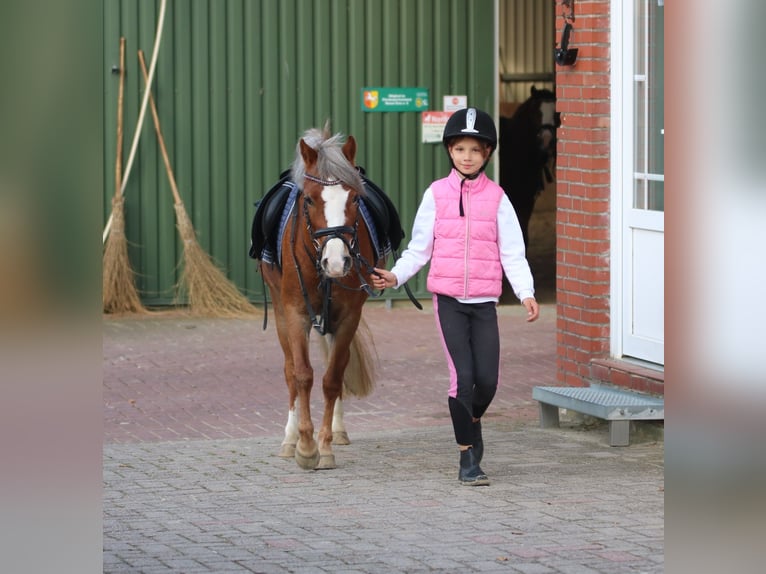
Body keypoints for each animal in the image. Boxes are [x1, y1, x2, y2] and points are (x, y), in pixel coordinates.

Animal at [260, 124, 384, 470]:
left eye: (355, 198)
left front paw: (325, 446)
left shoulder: (348, 315)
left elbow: (332, 377)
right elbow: (302, 375)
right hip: (279, 312)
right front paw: (304, 446)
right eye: (310, 200)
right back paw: (289, 439)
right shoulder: (295, 312)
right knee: (290, 371)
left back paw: (337, 431)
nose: (337, 262)